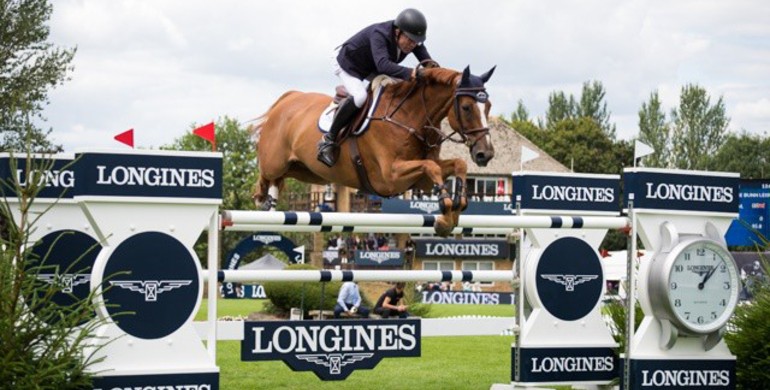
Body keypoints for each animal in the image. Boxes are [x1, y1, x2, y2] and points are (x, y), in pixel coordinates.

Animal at [249, 65, 496, 236]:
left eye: (488, 106)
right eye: (467, 107)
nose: (485, 154)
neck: (410, 117)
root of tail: (288, 98)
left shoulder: (420, 181)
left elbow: (456, 164)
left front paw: (453, 213)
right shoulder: (390, 177)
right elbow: (431, 167)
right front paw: (445, 211)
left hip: (308, 171)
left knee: (280, 178)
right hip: (275, 162)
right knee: (265, 175)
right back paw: (262, 200)